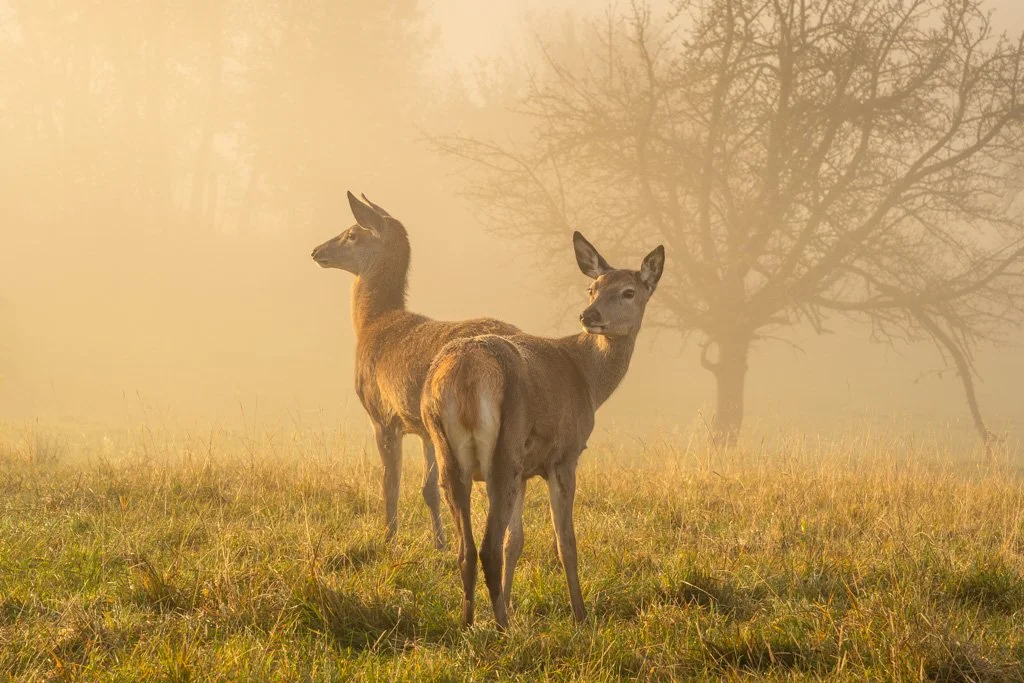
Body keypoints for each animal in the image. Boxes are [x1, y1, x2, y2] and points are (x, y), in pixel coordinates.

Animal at [310, 192, 520, 549]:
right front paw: (439, 543)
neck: (372, 325)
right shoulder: (423, 428)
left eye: (352, 234)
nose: (316, 251)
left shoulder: (383, 415)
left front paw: (388, 537)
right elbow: (428, 489)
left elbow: (390, 483)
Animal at [421, 231, 665, 630]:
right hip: (504, 449)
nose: (589, 315)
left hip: (448, 450)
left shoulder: (526, 469)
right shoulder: (563, 456)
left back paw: (472, 621)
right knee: (487, 547)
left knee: (467, 548)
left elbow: (515, 541)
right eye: (593, 288)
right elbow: (565, 541)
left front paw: (509, 601)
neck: (588, 381)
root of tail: (466, 372)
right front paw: (580, 614)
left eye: (628, 292)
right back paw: (503, 627)